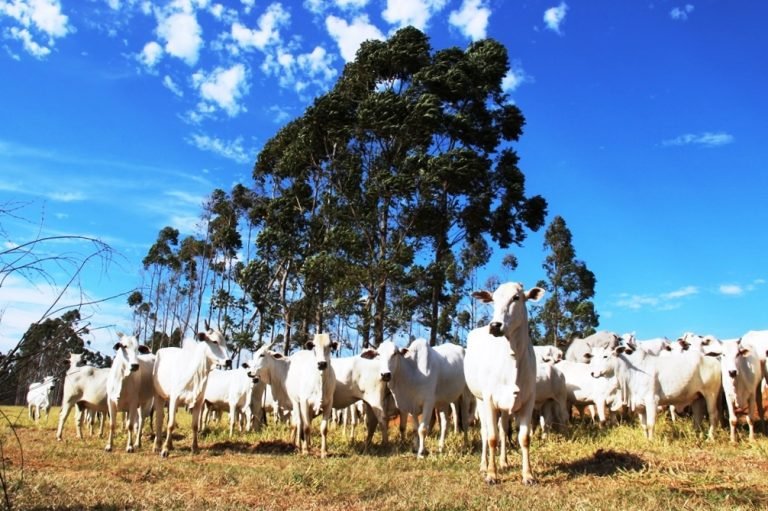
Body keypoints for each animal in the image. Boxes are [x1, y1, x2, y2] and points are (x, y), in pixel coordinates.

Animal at [152, 326, 231, 458]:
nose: (229, 361)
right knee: (159, 419)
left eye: (225, 342)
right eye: (214, 341)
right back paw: (157, 445)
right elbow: (170, 424)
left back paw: (170, 444)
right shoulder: (174, 398)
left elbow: (195, 425)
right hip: (159, 396)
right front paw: (165, 449)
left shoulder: (199, 401)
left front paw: (195, 448)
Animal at [464, 282, 544, 486]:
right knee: (485, 432)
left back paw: (504, 462)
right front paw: (491, 475)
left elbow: (524, 438)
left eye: (516, 297)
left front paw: (528, 475)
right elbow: (491, 438)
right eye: (493, 299)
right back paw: (484, 465)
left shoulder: (528, 400)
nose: (494, 326)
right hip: (479, 400)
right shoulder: (490, 400)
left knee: (503, 429)